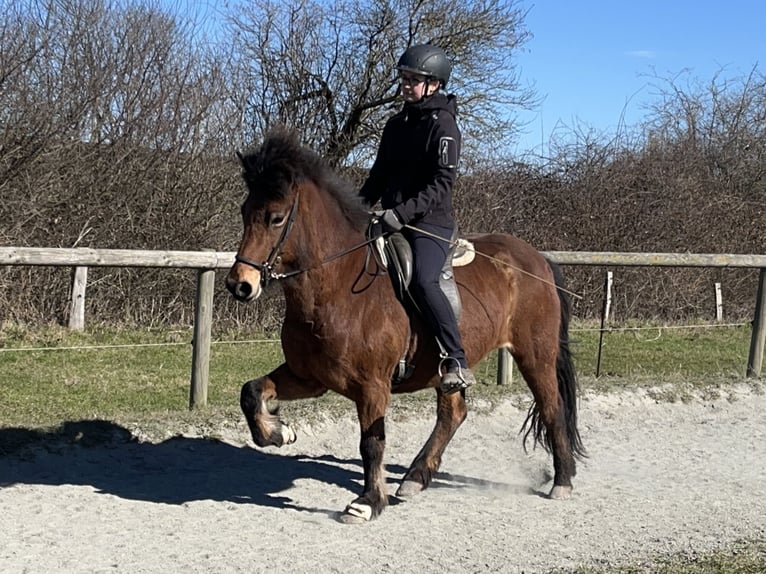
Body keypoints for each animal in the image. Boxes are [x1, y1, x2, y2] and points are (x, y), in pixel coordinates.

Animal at [225, 129, 585, 523]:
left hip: (535, 354)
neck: (336, 286)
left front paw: (367, 502)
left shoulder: (372, 385)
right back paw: (415, 477)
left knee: (551, 407)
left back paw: (562, 481)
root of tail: (537, 260)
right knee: (453, 414)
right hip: (449, 371)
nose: (239, 285)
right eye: (244, 212)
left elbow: (372, 441)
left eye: (275, 218)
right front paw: (278, 431)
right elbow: (251, 391)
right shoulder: (309, 377)